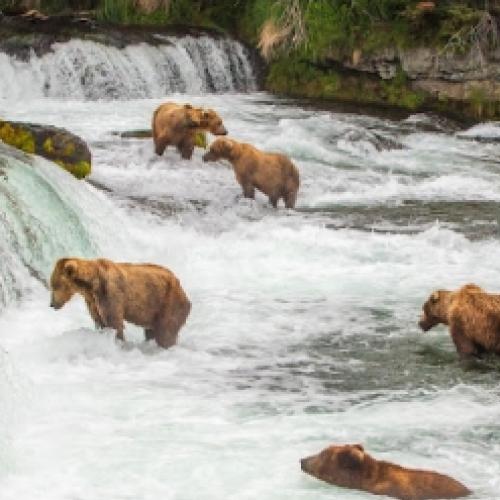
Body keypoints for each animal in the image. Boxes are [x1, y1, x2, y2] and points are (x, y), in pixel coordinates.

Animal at [49, 258, 189, 348]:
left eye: (55, 285)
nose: (52, 304)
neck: (91, 285)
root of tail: (181, 286)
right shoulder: (92, 301)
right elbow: (100, 322)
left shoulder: (109, 294)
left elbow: (114, 322)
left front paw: (118, 341)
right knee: (151, 331)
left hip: (169, 302)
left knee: (166, 332)